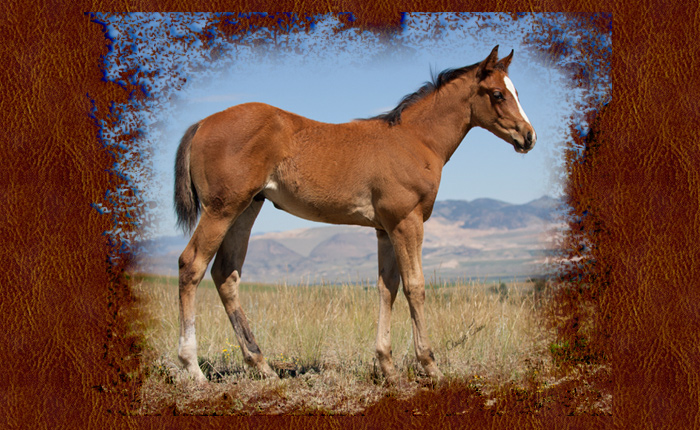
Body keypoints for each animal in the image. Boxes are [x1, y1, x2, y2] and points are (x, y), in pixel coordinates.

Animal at [173, 46, 536, 383]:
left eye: (518, 92)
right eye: (498, 94)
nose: (528, 136)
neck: (415, 139)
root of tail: (202, 123)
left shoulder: (385, 228)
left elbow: (387, 287)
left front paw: (387, 367)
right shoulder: (407, 220)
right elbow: (414, 286)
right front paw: (430, 365)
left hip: (247, 207)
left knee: (226, 274)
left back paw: (262, 366)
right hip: (222, 208)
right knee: (191, 264)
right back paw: (193, 369)